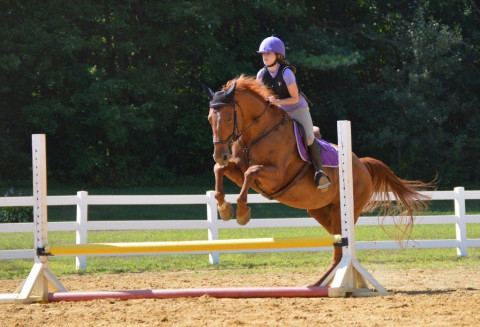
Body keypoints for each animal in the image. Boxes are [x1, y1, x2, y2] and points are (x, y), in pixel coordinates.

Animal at [204, 75, 430, 286]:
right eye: (209, 119)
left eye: (228, 119)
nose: (220, 155)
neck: (256, 134)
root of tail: (362, 165)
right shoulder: (236, 170)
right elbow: (220, 170)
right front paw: (224, 208)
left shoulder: (275, 176)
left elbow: (250, 172)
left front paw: (242, 213)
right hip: (320, 211)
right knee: (338, 244)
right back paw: (321, 283)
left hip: (343, 209)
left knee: (340, 246)